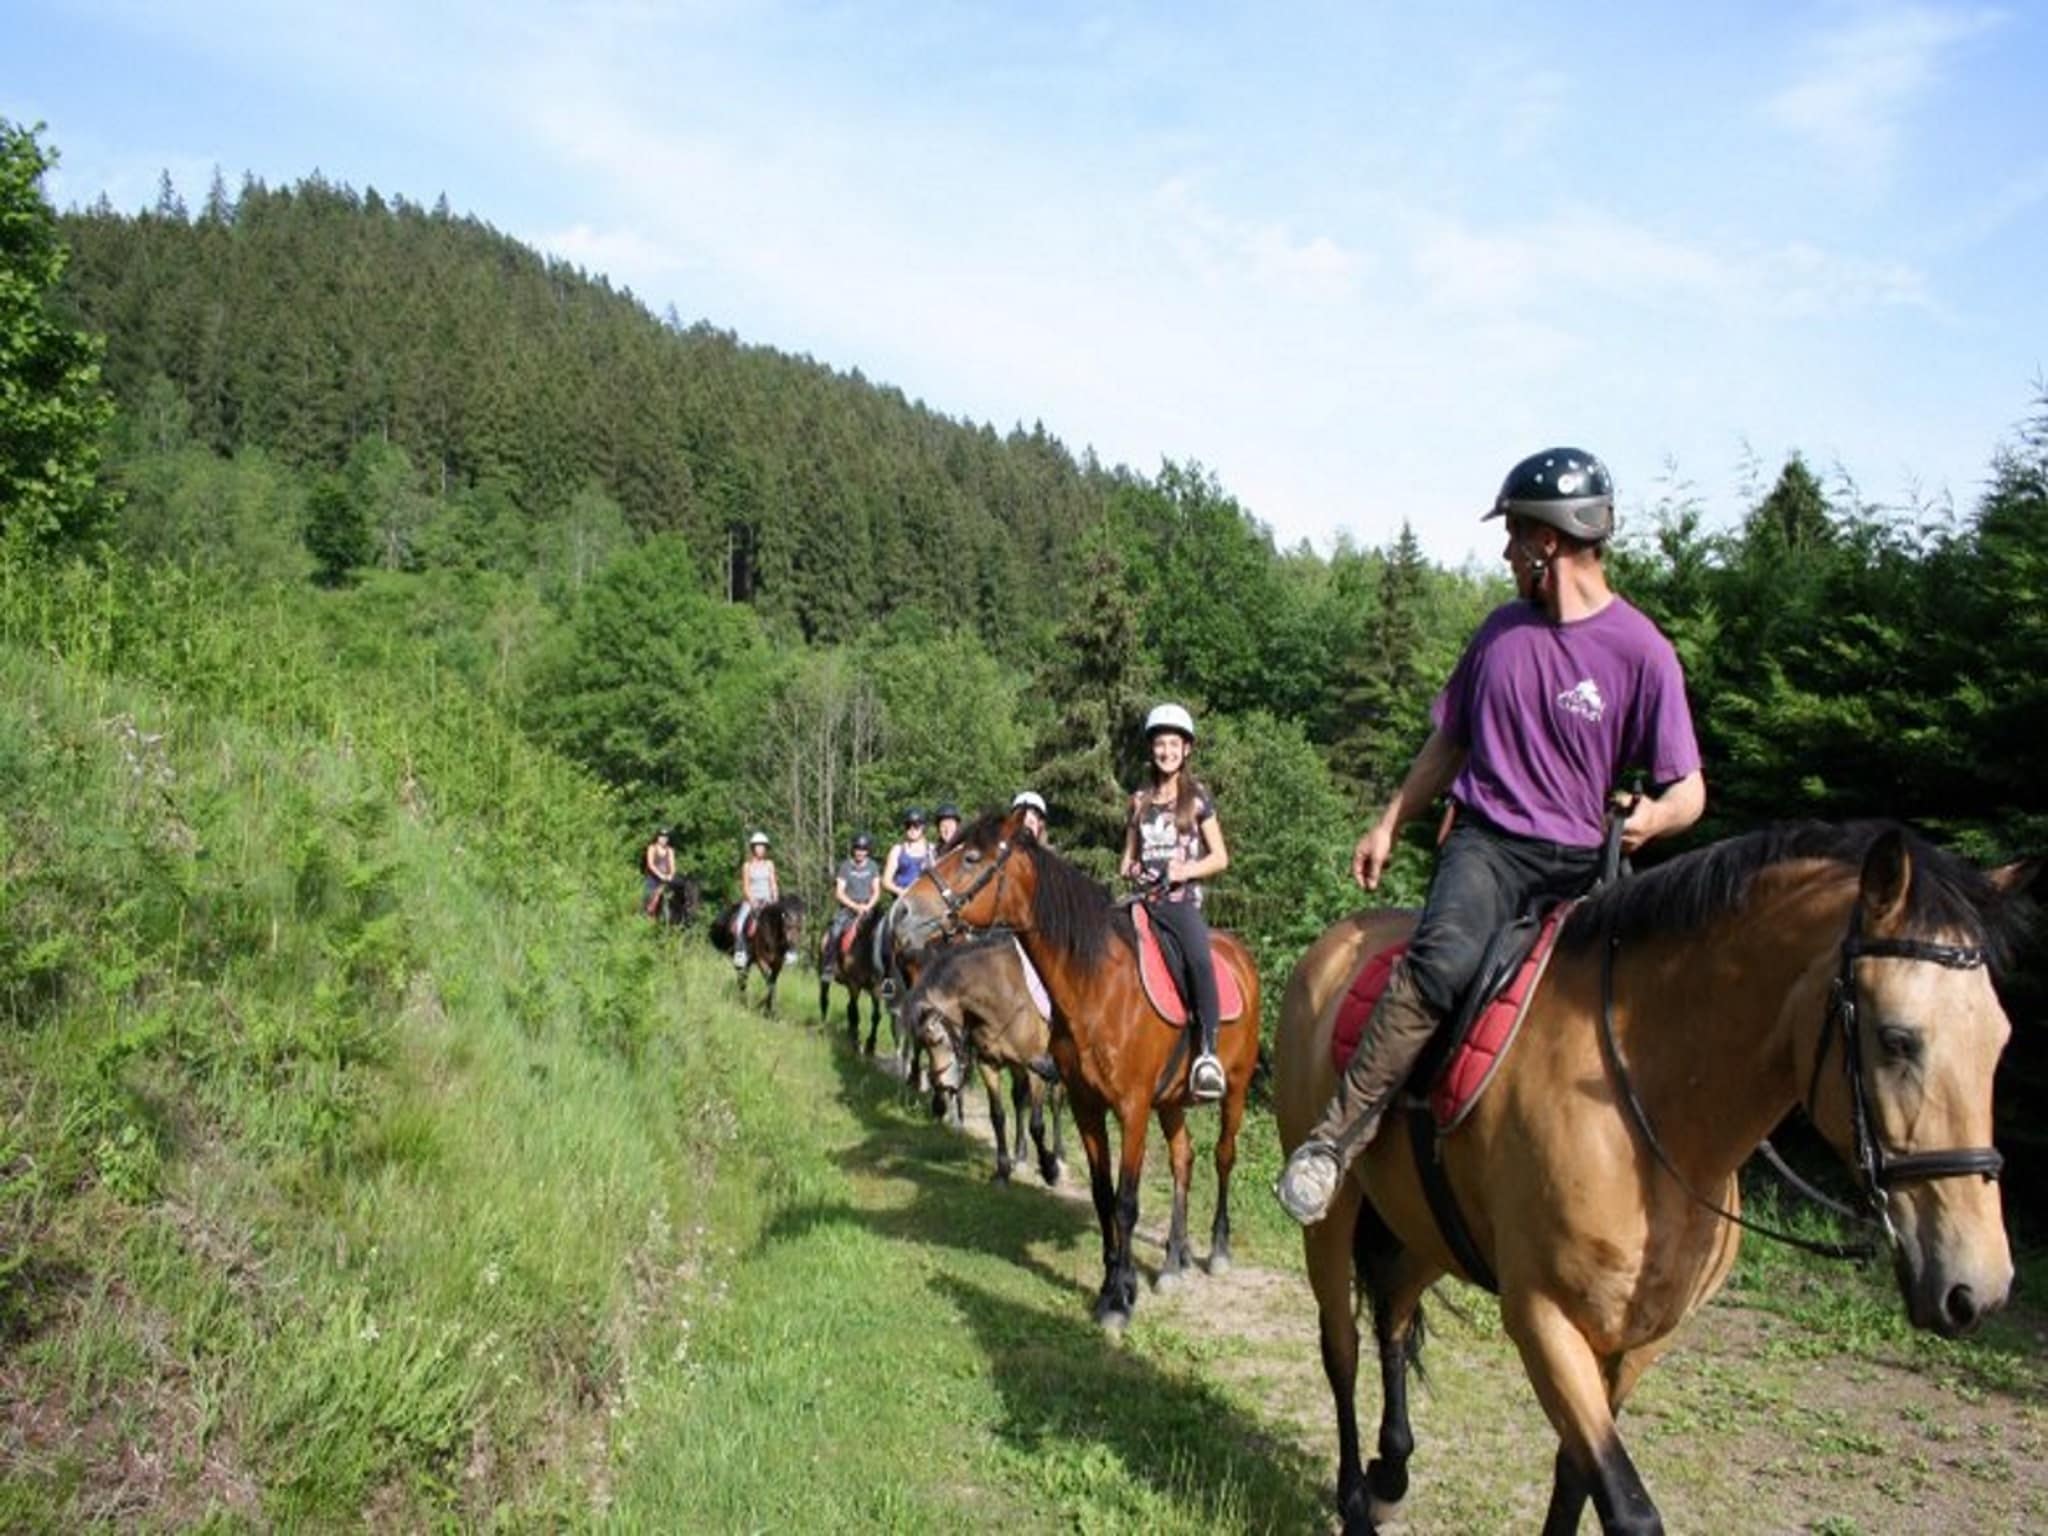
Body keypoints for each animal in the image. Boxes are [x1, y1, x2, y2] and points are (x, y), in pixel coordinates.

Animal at [815, 901, 888, 1056]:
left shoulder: (876, 988)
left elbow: (876, 1016)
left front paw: (870, 1045)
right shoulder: (854, 985)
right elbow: (856, 1013)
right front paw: (856, 1043)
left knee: (848, 1007)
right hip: (825, 977)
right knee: (825, 1000)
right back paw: (823, 1028)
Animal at [909, 925, 1073, 1187]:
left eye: (938, 1040)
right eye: (923, 1045)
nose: (941, 1087)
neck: (1006, 996)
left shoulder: (1036, 1069)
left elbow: (1037, 1124)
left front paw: (1050, 1170)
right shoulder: (989, 1065)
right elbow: (997, 1116)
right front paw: (1002, 1171)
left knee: (1056, 1100)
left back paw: (1059, 1156)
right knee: (1019, 1099)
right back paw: (1020, 1155)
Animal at [1277, 831, 2031, 1536]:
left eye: (2000, 1040)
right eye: (1898, 1039)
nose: (1977, 1288)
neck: (1652, 1121)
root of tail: (1338, 943)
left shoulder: (1641, 1339)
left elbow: (1575, 1477)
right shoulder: (1543, 1319)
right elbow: (1628, 1509)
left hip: (1428, 1227)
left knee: (1395, 1313)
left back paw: (1391, 1473)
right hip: (1335, 1217)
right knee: (1341, 1346)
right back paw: (1355, 1500)